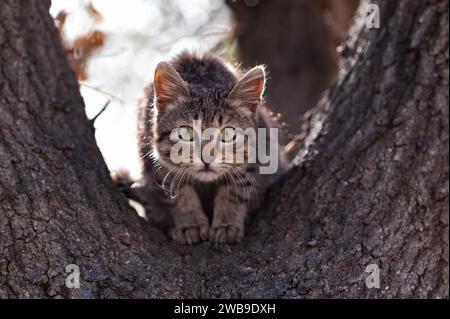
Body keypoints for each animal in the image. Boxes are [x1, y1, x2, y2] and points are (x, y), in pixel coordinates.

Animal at [135, 52, 286, 245]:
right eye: (186, 132)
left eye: (227, 134)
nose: (207, 158)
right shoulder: (157, 165)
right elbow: (179, 193)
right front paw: (191, 224)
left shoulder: (259, 157)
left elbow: (236, 189)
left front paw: (227, 225)